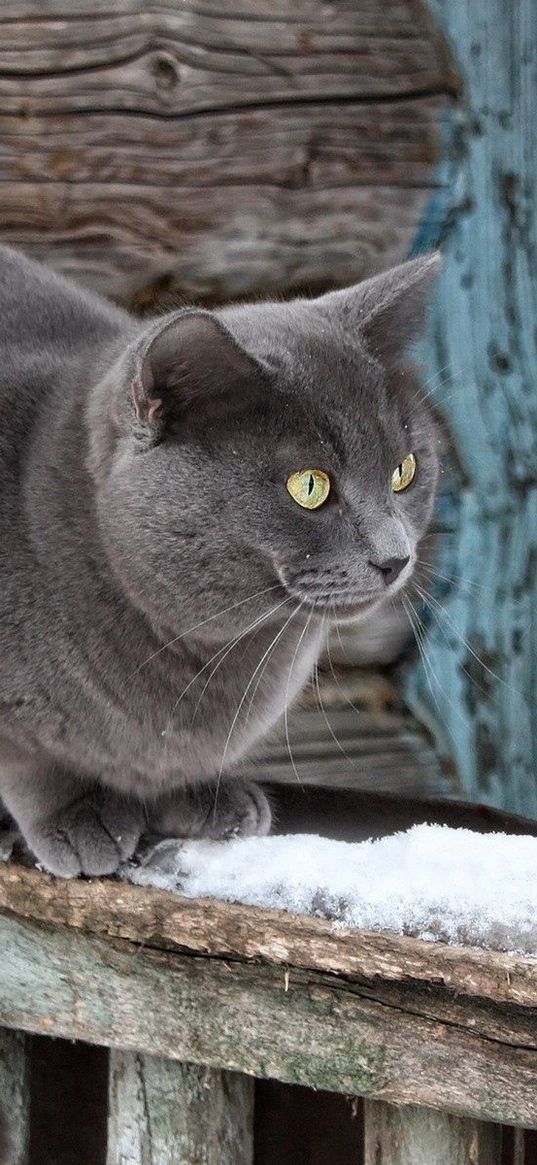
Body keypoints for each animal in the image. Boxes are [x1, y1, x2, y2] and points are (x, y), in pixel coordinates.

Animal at [0, 248, 440, 880]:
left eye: (404, 471)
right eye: (309, 486)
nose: (396, 556)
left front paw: (202, 799)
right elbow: (32, 761)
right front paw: (78, 814)